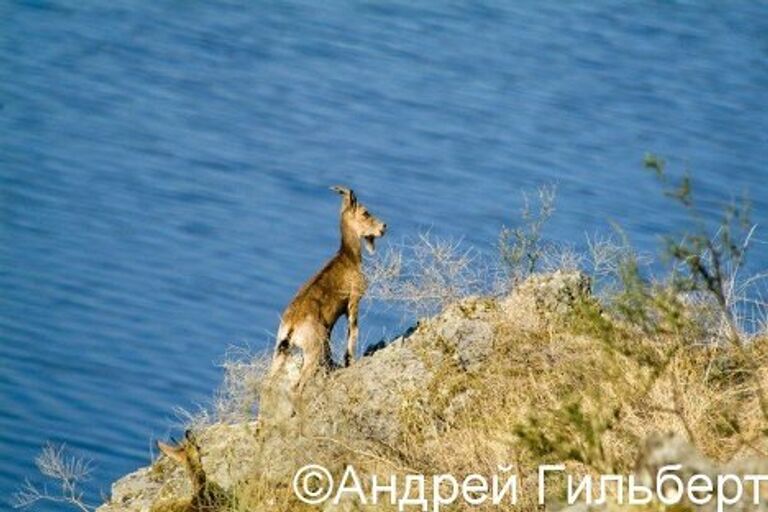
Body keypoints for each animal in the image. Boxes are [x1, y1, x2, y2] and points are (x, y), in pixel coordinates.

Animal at [270, 186, 390, 398]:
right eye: (365, 212)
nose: (383, 227)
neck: (348, 258)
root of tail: (292, 327)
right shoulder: (353, 301)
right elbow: (353, 331)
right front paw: (349, 361)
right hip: (312, 352)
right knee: (298, 385)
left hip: (280, 353)